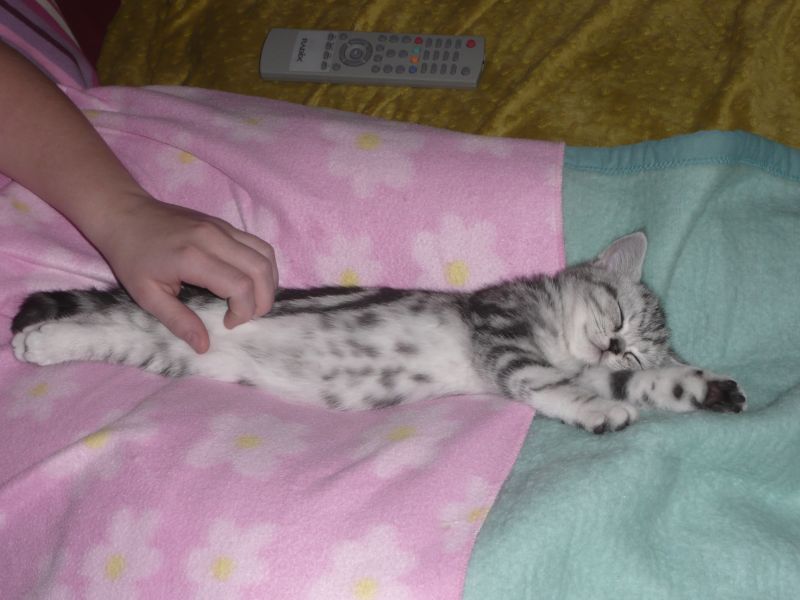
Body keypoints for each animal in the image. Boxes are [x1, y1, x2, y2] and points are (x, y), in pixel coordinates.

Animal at [11, 232, 745, 433]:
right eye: (616, 315)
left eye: (637, 348)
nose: (616, 344)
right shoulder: (500, 330)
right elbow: (549, 382)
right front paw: (598, 411)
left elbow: (638, 384)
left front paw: (702, 388)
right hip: (174, 318)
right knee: (109, 315)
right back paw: (34, 340)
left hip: (170, 350)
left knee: (114, 332)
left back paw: (42, 343)